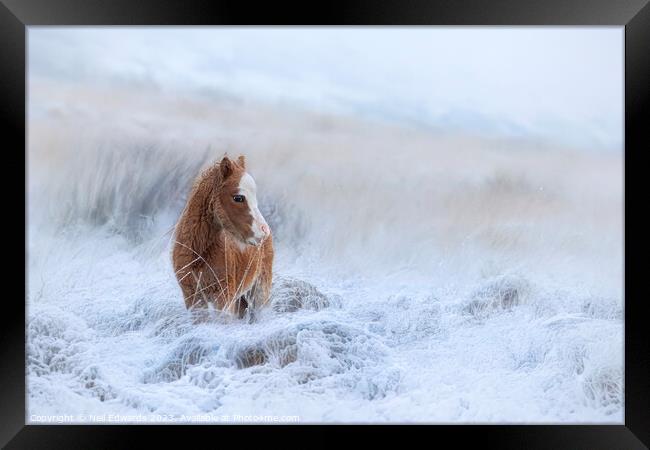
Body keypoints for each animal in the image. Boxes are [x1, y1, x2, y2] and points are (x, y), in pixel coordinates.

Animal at [171, 156, 272, 318]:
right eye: (238, 198)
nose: (264, 231)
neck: (200, 253)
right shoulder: (192, 296)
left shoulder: (224, 295)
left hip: (260, 289)